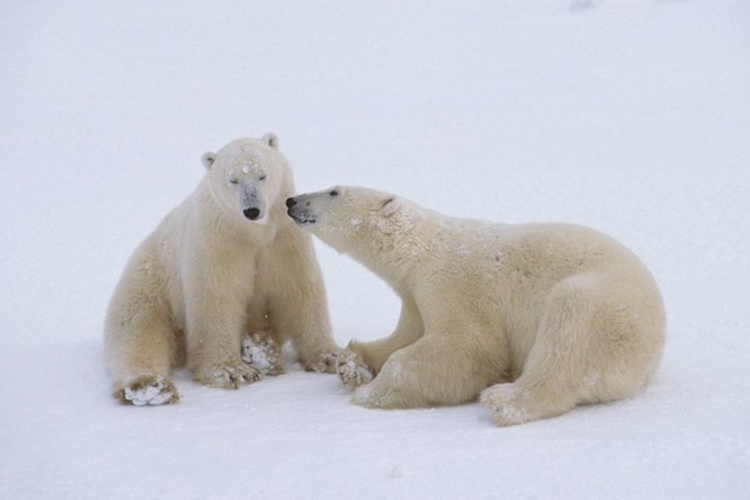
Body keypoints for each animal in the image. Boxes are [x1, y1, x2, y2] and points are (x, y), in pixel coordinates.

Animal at [104, 134, 340, 405]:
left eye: (262, 175)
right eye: (233, 180)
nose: (252, 210)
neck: (254, 232)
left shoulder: (284, 239)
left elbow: (299, 291)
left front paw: (330, 357)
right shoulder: (219, 241)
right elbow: (217, 299)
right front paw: (233, 372)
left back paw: (260, 350)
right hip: (150, 284)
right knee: (138, 332)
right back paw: (149, 386)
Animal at [286, 186, 666, 426]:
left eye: (334, 191)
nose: (291, 201)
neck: (421, 248)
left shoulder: (453, 282)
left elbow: (470, 347)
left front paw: (369, 394)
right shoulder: (413, 295)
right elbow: (406, 335)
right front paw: (351, 365)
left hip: (609, 308)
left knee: (568, 326)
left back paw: (505, 400)